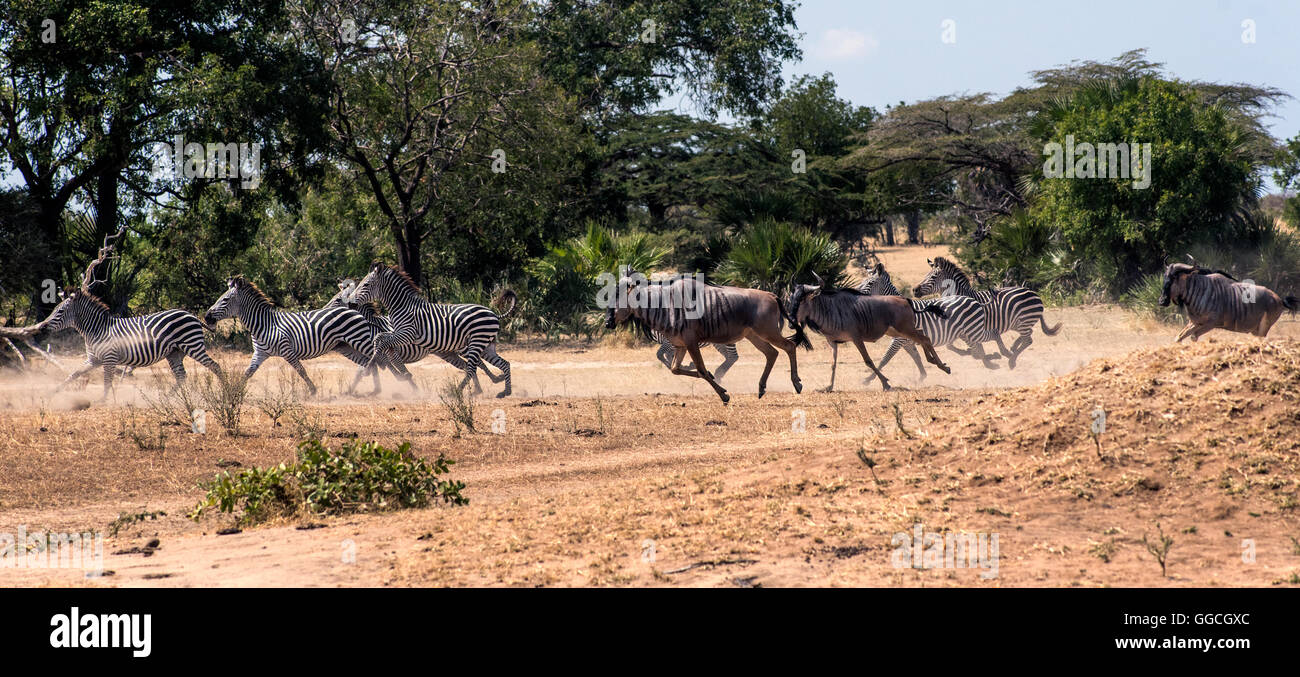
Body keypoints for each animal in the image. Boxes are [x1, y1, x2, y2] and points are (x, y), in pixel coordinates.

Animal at [43, 283, 223, 395]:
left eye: (59, 312)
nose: (42, 327)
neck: (97, 329)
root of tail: (191, 315)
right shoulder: (94, 360)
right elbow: (73, 374)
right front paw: (53, 392)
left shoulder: (109, 358)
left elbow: (107, 381)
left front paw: (103, 400)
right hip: (174, 353)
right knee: (181, 376)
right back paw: (169, 398)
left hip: (193, 346)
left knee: (215, 366)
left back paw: (225, 391)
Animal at [202, 272, 410, 392]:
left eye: (225, 300)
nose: (206, 317)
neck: (264, 324)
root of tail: (354, 309)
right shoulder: (260, 353)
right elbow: (248, 372)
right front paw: (234, 390)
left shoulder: (287, 350)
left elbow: (301, 370)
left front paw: (313, 390)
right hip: (345, 346)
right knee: (370, 363)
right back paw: (377, 389)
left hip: (360, 340)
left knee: (380, 357)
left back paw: (402, 379)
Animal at [348, 259, 514, 395]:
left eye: (366, 285)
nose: (350, 304)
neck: (402, 306)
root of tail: (492, 313)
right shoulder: (397, 333)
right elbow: (380, 339)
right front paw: (377, 367)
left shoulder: (407, 334)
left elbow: (380, 340)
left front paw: (371, 367)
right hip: (484, 345)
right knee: (503, 363)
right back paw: (505, 391)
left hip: (475, 342)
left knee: (472, 367)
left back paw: (458, 391)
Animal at [863, 262, 1003, 382]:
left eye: (870, 283)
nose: (858, 293)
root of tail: (972, 299)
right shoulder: (905, 342)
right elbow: (917, 358)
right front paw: (922, 376)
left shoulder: (899, 340)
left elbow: (885, 359)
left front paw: (869, 379)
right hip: (966, 333)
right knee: (977, 348)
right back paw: (992, 361)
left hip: (972, 331)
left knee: (990, 337)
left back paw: (1001, 355)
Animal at [909, 254, 1060, 369]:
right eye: (925, 275)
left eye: (933, 277)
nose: (915, 290)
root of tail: (1033, 293)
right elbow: (952, 347)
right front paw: (974, 354)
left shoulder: (967, 328)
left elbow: (973, 348)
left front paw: (983, 356)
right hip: (1019, 323)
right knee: (1028, 335)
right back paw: (1013, 347)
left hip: (1024, 321)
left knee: (1028, 339)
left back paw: (1011, 360)